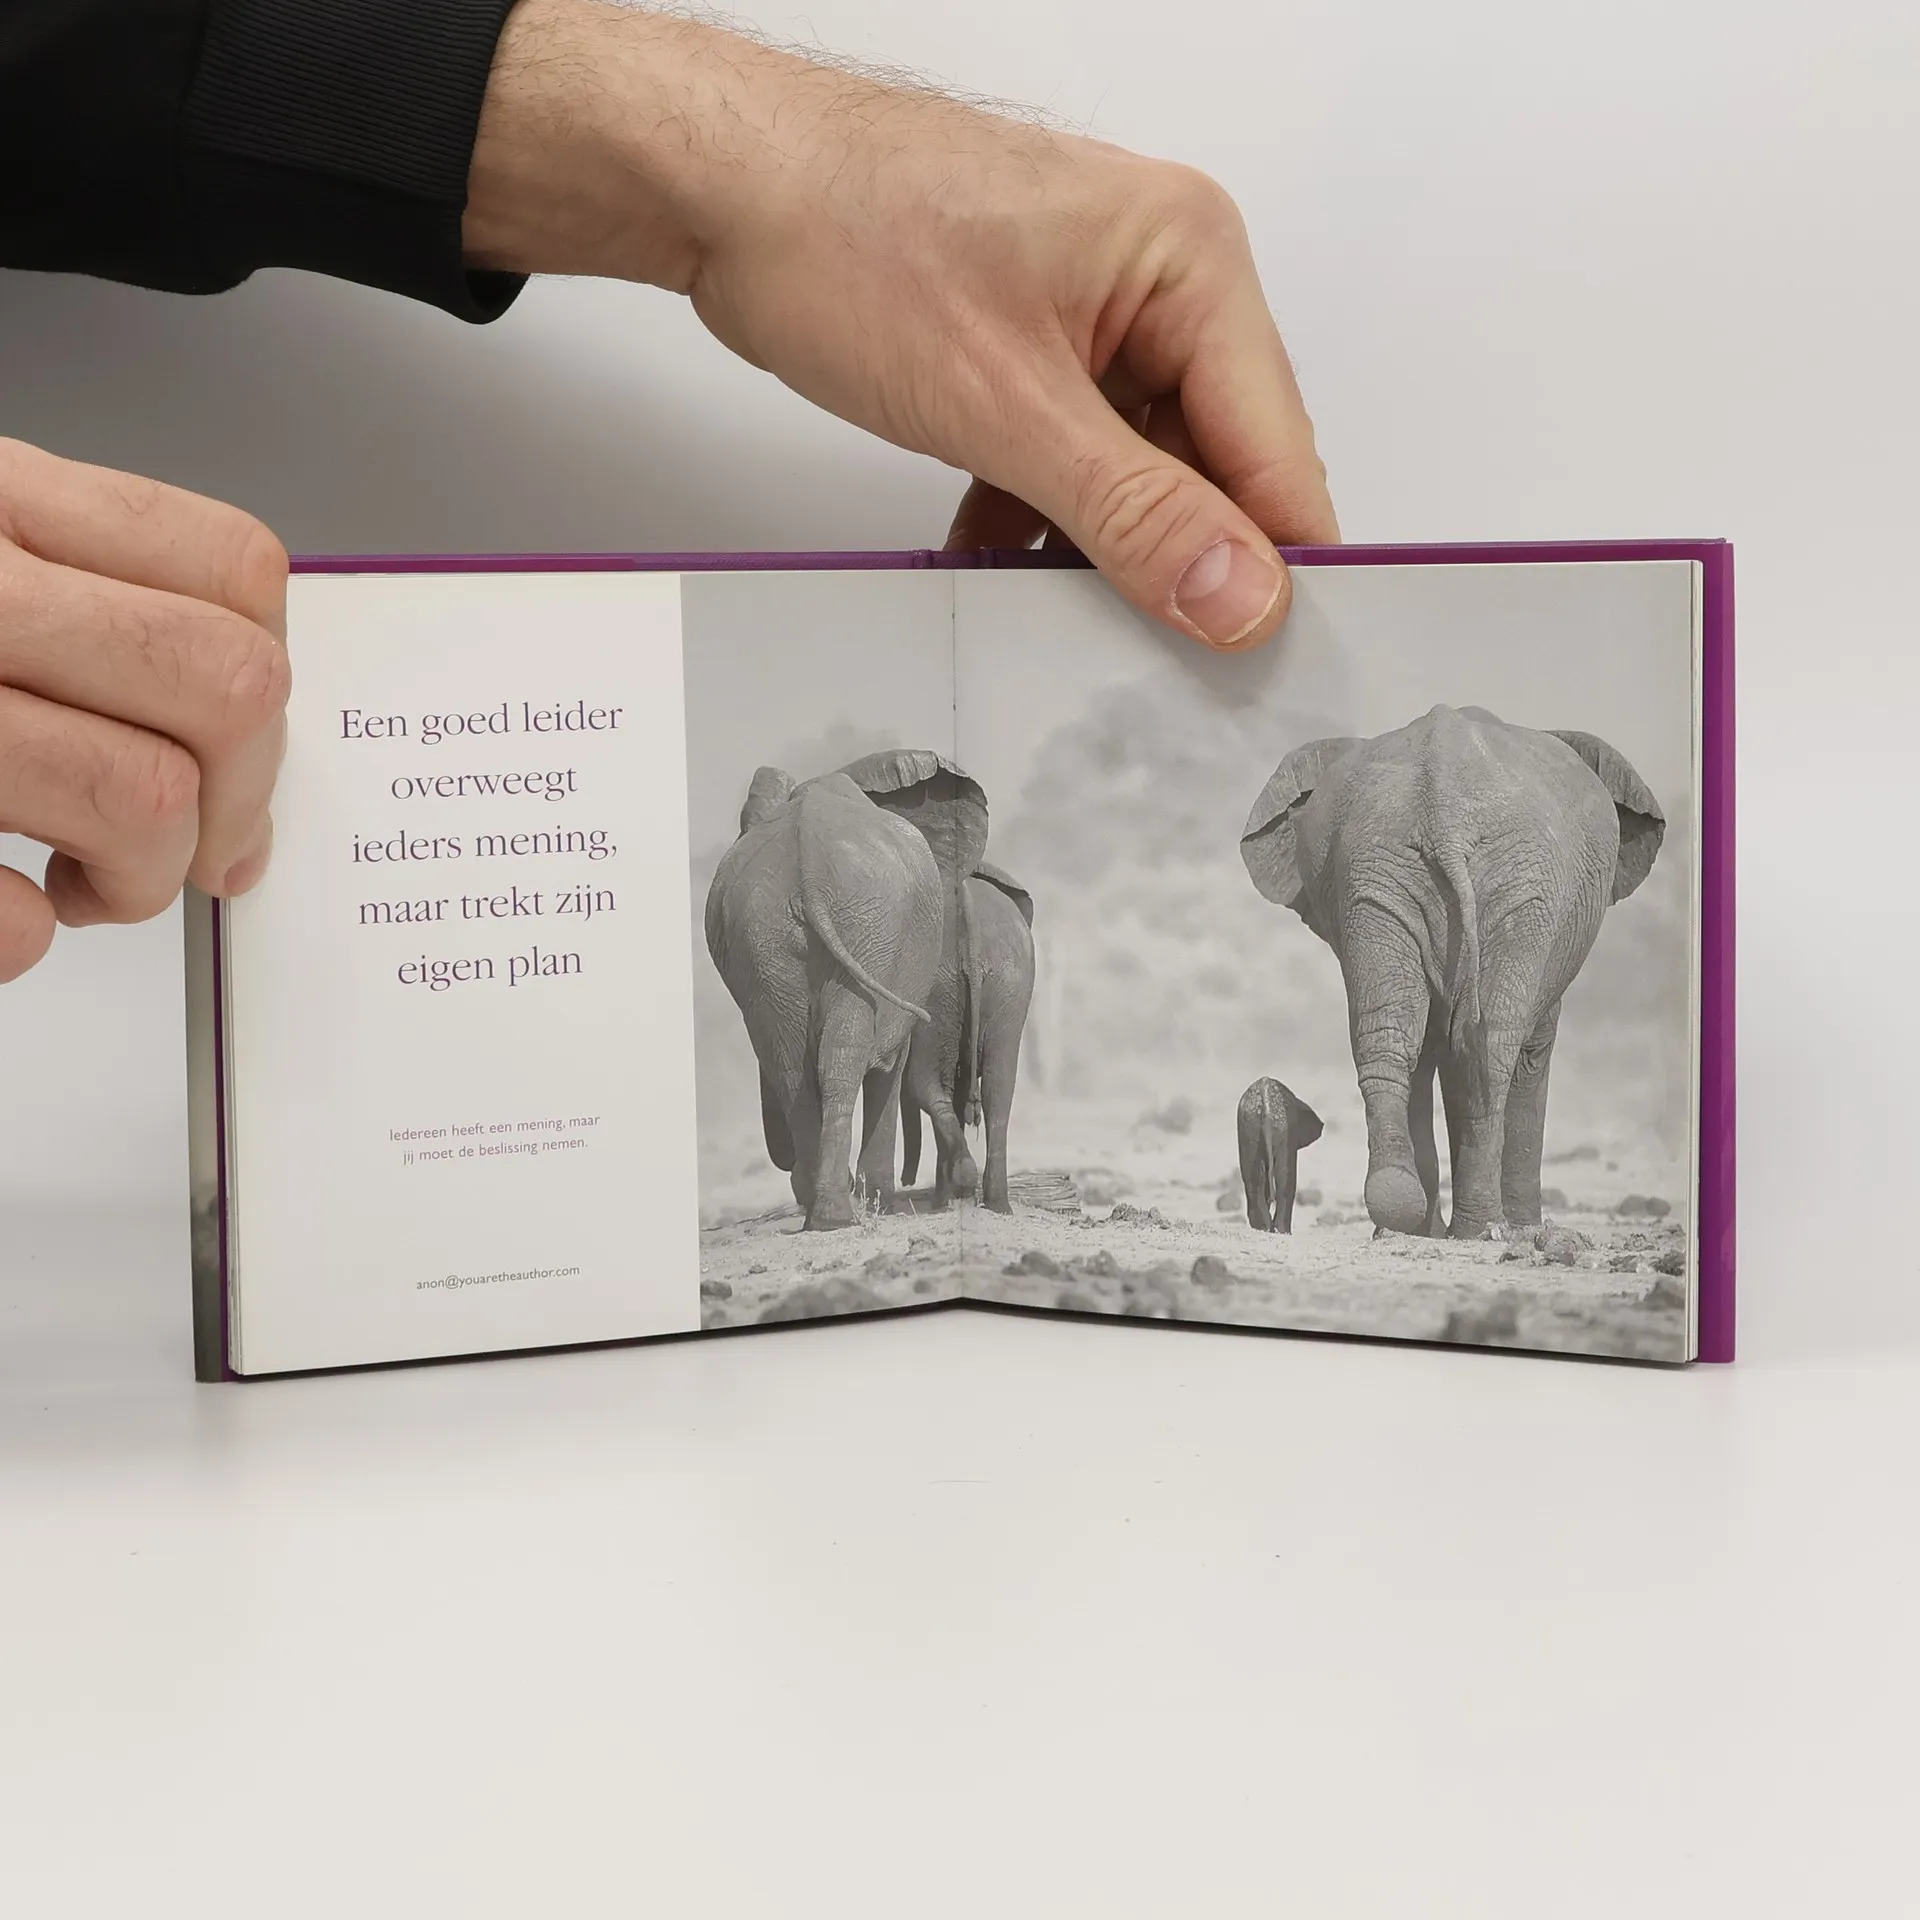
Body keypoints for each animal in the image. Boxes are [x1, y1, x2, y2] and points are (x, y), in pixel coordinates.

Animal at [704, 766, 943, 1231]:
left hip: (768, 940)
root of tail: (808, 866)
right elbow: (891, 1062)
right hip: (866, 932)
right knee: (841, 1057)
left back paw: (826, 1212)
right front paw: (878, 1200)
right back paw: (840, 1212)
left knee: (790, 1065)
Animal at [899, 862, 1036, 1212]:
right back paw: (996, 1205)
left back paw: (953, 1192)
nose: (905, 1181)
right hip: (1008, 982)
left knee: (927, 1082)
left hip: (938, 987)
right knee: (998, 1087)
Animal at [1236, 1078, 1323, 1233]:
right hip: (1280, 1128)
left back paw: (1264, 1228)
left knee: (1255, 1179)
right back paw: (1282, 1231)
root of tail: (1265, 1103)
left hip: (1251, 1127)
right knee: (1284, 1177)